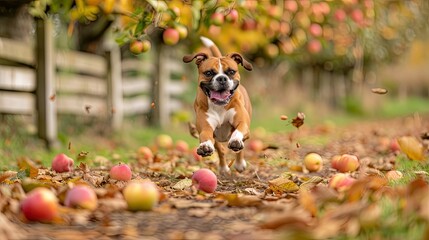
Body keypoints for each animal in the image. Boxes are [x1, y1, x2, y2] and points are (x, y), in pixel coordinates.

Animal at [182, 36, 252, 174]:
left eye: (231, 71)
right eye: (209, 73)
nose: (222, 78)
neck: (220, 106)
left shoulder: (243, 123)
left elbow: (239, 131)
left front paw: (236, 141)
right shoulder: (206, 127)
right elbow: (206, 136)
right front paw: (205, 146)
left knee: (240, 149)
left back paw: (239, 163)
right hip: (217, 138)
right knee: (221, 149)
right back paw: (223, 168)